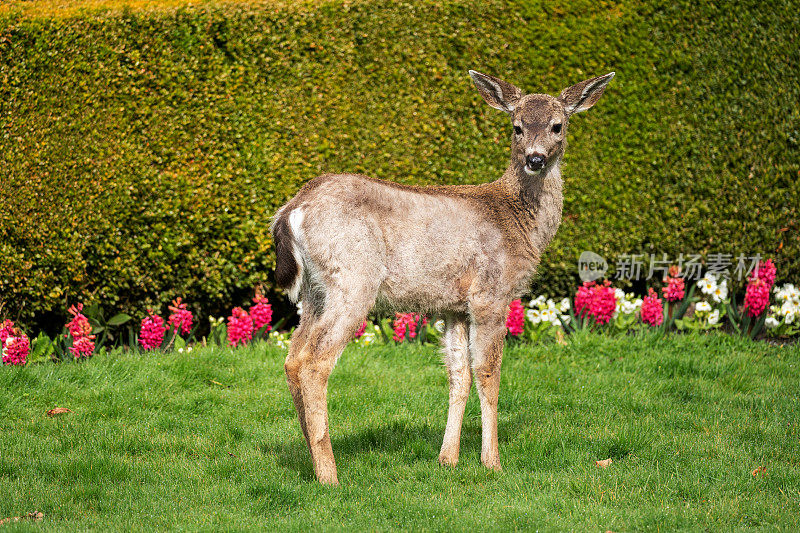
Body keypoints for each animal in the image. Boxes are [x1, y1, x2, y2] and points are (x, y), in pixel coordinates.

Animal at [272, 68, 616, 484]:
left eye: (557, 125)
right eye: (516, 127)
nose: (535, 159)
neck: (519, 220)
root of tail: (292, 209)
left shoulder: (454, 306)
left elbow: (458, 374)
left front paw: (448, 458)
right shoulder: (491, 292)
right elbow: (488, 372)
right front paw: (492, 461)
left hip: (314, 291)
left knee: (292, 358)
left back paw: (310, 458)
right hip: (353, 279)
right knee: (314, 362)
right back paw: (329, 475)